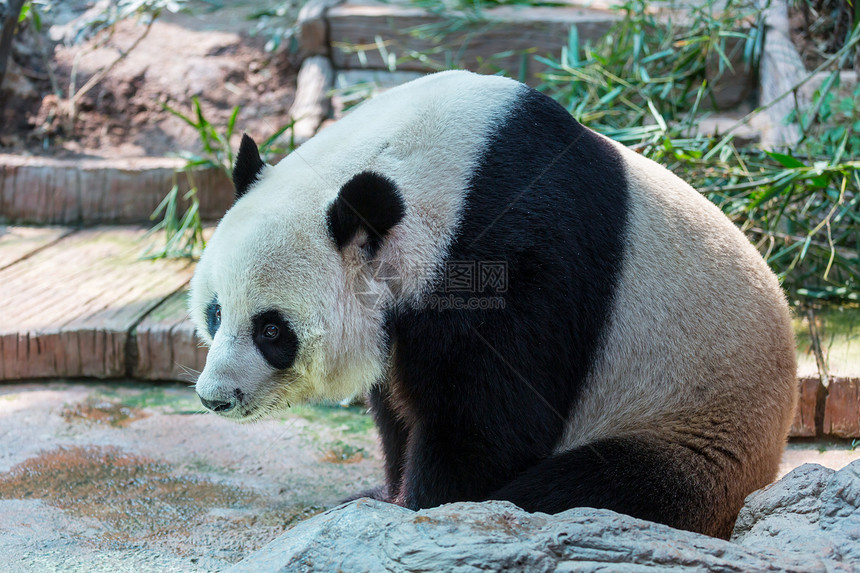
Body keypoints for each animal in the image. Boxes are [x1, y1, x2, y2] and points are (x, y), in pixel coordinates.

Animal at [191, 69, 796, 540]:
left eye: (272, 331)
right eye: (215, 313)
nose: (216, 398)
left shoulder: (517, 254)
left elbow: (489, 422)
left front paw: (423, 510)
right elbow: (399, 407)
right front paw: (382, 497)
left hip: (691, 425)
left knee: (593, 488)